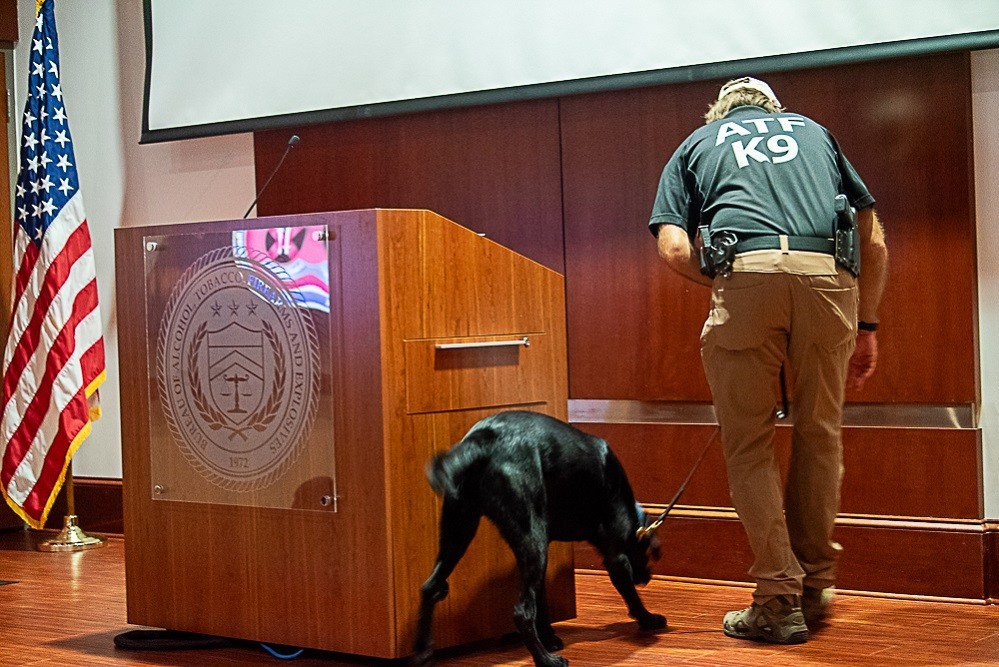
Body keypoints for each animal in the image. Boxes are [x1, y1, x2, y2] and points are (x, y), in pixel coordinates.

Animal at [410, 412, 668, 667]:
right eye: (646, 552)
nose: (646, 578)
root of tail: (480, 442)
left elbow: (542, 601)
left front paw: (550, 638)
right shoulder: (615, 557)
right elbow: (630, 595)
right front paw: (648, 619)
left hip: (459, 530)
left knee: (430, 586)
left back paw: (422, 652)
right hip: (531, 539)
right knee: (521, 611)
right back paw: (546, 660)